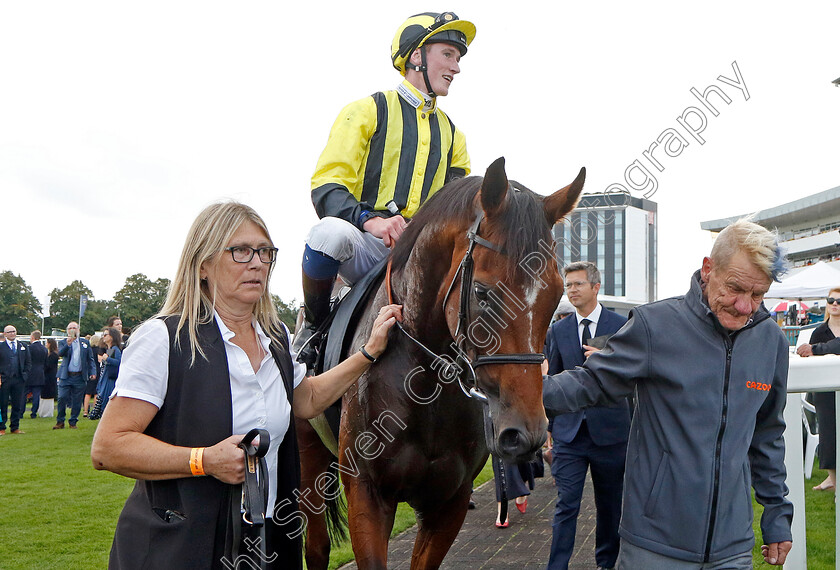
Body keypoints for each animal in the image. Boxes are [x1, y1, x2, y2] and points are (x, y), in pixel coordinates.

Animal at [296, 156, 584, 568]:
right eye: (482, 291)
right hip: (309, 453)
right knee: (316, 546)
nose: (525, 433)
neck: (424, 380)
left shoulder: (449, 501)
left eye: (558, 291)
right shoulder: (367, 496)